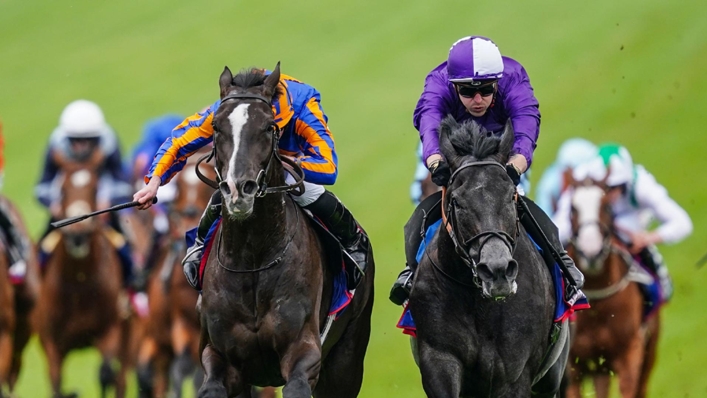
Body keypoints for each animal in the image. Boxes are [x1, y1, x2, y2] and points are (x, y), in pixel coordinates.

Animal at [33, 152, 131, 398]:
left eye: (95, 188)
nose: (78, 236)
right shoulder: (51, 342)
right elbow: (57, 385)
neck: (79, 282)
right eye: (62, 189)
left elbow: (106, 373)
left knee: (120, 379)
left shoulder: (110, 329)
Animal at [410, 116, 568, 398]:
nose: (497, 271)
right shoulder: (439, 359)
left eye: (511, 194)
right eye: (457, 201)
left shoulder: (514, 373)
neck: (479, 303)